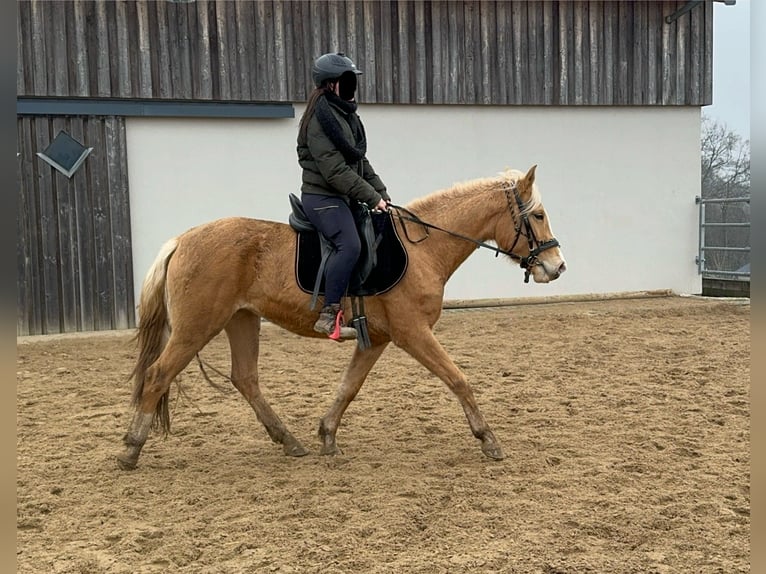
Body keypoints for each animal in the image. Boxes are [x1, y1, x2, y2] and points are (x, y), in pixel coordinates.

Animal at [117, 164, 568, 470]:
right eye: (539, 215)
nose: (557, 266)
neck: (422, 248)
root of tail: (182, 240)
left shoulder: (379, 339)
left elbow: (349, 387)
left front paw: (327, 435)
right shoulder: (413, 333)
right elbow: (458, 379)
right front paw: (488, 440)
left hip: (241, 320)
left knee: (245, 378)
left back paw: (289, 440)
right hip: (197, 327)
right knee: (158, 375)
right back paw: (131, 448)